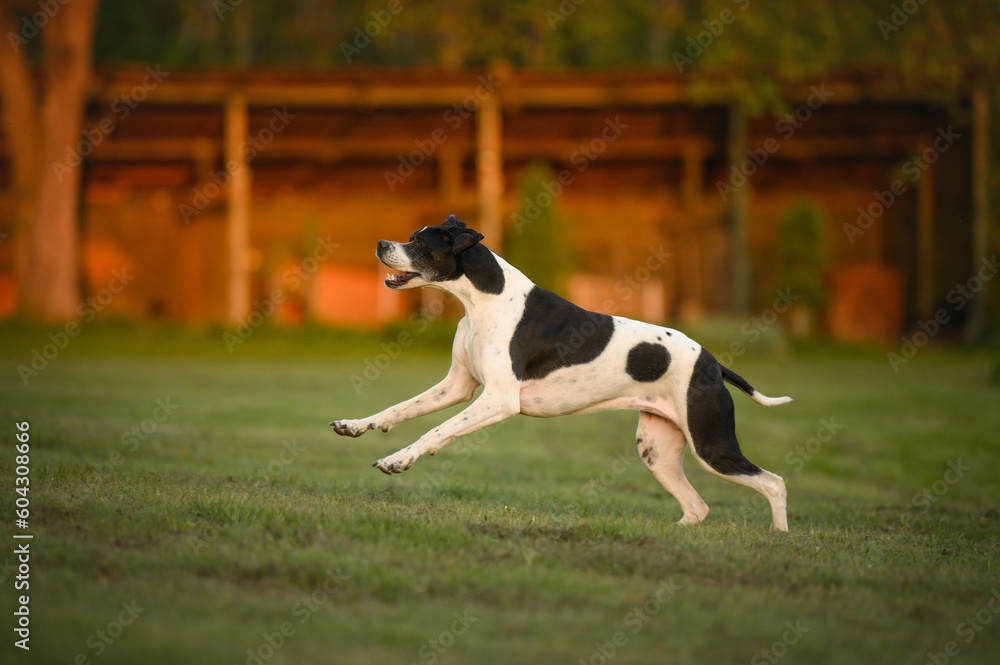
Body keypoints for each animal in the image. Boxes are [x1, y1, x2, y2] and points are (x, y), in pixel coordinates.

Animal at [332, 217, 792, 528]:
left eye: (418, 242)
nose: (380, 242)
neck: (485, 299)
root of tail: (712, 362)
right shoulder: (457, 387)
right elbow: (398, 409)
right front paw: (356, 425)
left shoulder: (497, 400)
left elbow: (436, 431)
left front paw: (399, 459)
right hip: (658, 451)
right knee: (698, 507)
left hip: (712, 446)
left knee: (774, 483)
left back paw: (778, 537)